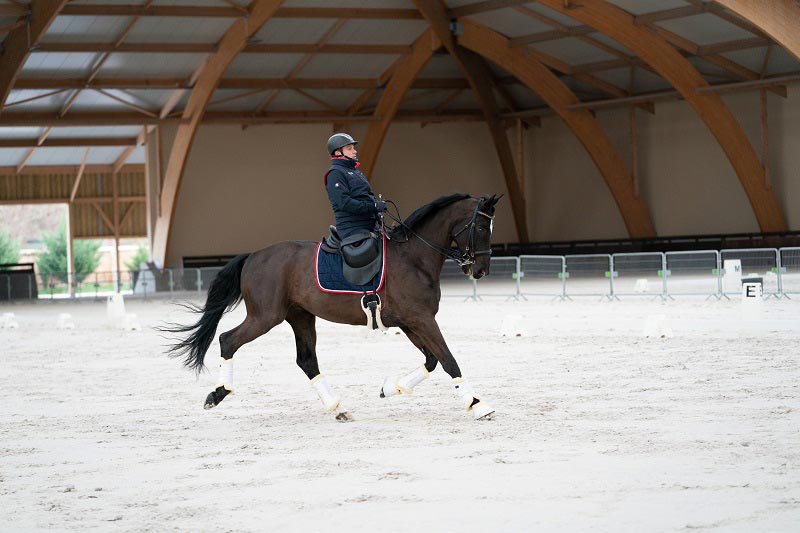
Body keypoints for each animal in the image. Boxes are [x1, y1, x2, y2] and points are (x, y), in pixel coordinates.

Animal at [163, 191, 500, 420]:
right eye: (482, 228)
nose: (481, 270)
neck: (414, 257)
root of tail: (255, 256)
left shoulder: (410, 322)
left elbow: (432, 360)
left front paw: (390, 388)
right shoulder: (421, 319)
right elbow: (448, 360)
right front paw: (477, 405)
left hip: (300, 317)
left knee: (306, 361)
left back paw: (337, 407)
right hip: (265, 317)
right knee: (228, 340)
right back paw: (218, 394)